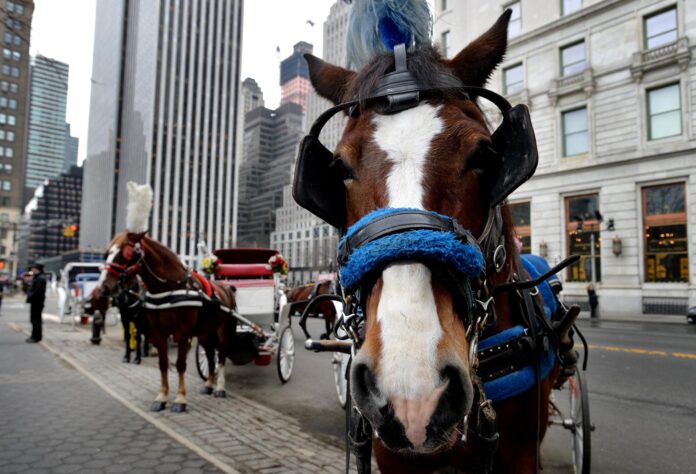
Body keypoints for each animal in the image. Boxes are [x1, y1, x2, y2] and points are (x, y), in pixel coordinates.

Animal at [98, 230, 237, 412]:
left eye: (124, 253)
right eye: (107, 253)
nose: (104, 287)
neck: (169, 288)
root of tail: (227, 287)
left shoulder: (183, 332)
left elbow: (180, 364)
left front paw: (180, 399)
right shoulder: (159, 332)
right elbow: (163, 363)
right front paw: (162, 397)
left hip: (224, 331)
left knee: (221, 355)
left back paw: (220, 387)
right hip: (205, 333)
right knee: (209, 355)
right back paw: (208, 384)